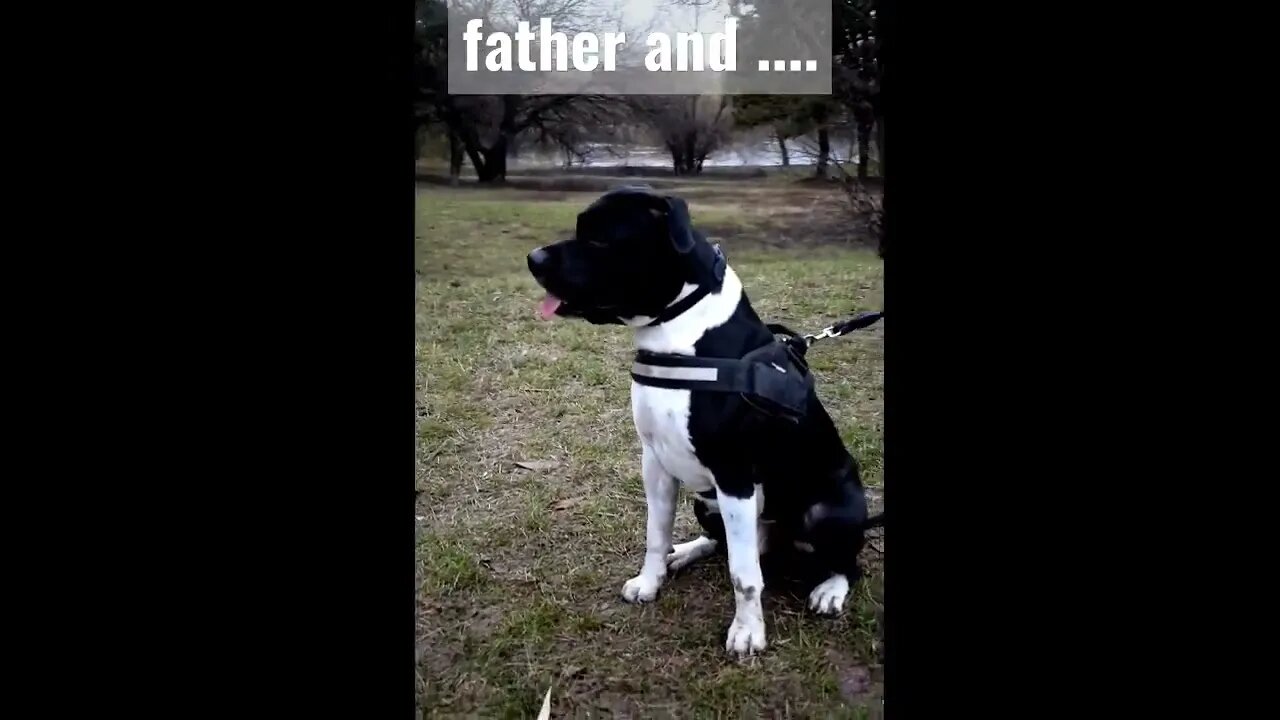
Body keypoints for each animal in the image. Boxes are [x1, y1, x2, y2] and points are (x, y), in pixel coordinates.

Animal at [524, 185, 875, 655]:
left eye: (599, 237)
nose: (533, 259)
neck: (681, 326)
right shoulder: (654, 461)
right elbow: (656, 534)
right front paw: (650, 582)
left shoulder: (735, 476)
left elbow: (744, 575)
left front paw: (747, 631)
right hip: (706, 501)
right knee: (720, 542)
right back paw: (686, 551)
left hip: (825, 510)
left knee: (845, 561)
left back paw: (830, 589)